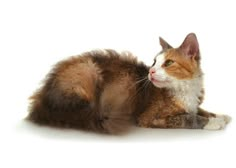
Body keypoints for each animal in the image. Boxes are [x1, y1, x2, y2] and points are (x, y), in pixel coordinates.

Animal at [27, 33, 230, 134]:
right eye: (154, 62)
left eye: (168, 63)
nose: (150, 72)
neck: (184, 87)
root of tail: (42, 100)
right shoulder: (151, 118)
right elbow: (189, 118)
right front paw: (213, 123)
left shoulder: (193, 103)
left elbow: (200, 110)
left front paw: (220, 116)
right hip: (90, 70)